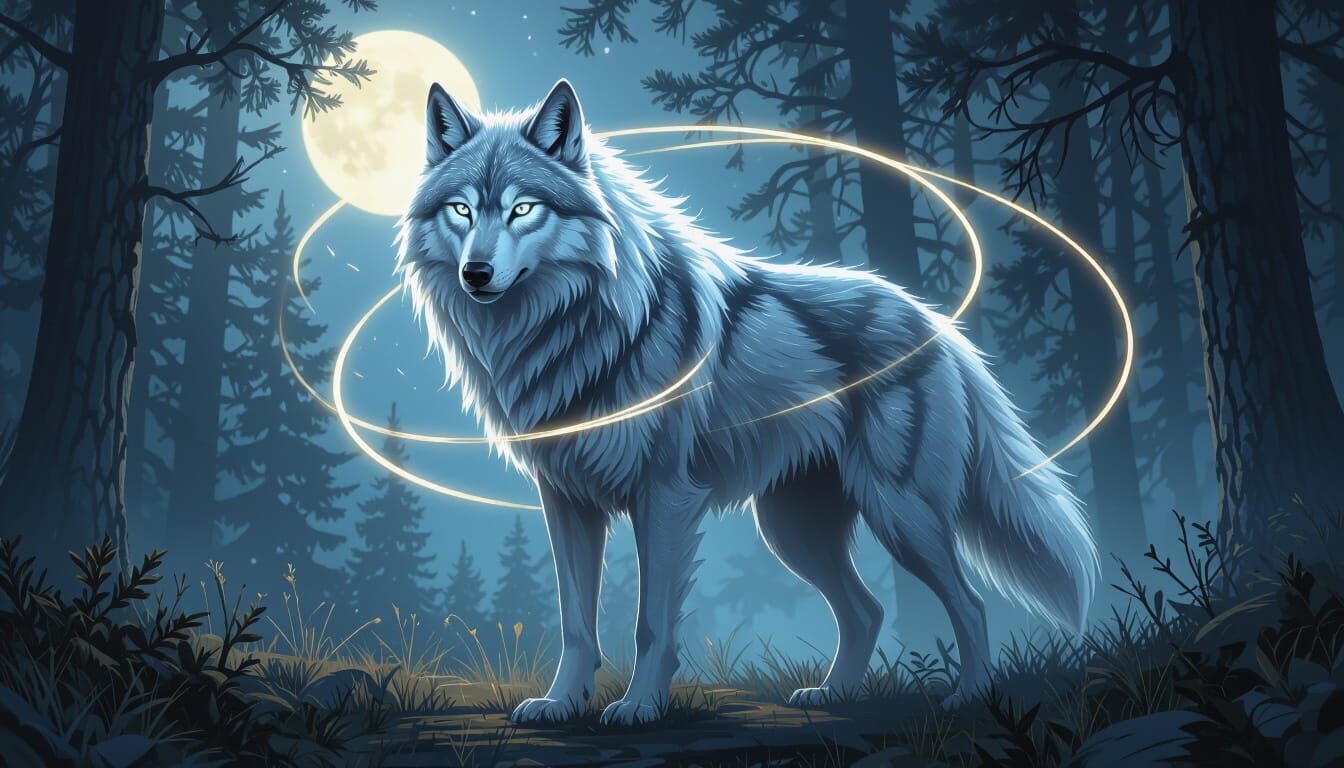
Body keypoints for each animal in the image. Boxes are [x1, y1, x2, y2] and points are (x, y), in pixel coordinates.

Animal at [396, 79, 1099, 725]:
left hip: (901, 514)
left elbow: (651, 623)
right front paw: (561, 703)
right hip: (792, 530)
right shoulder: (565, 500)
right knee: (868, 611)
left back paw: (969, 697)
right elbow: (574, 622)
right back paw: (833, 695)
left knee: (969, 603)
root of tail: (935, 322)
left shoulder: (665, 497)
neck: (571, 329)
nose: (476, 273)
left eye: (523, 209)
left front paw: (639, 706)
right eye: (461, 210)